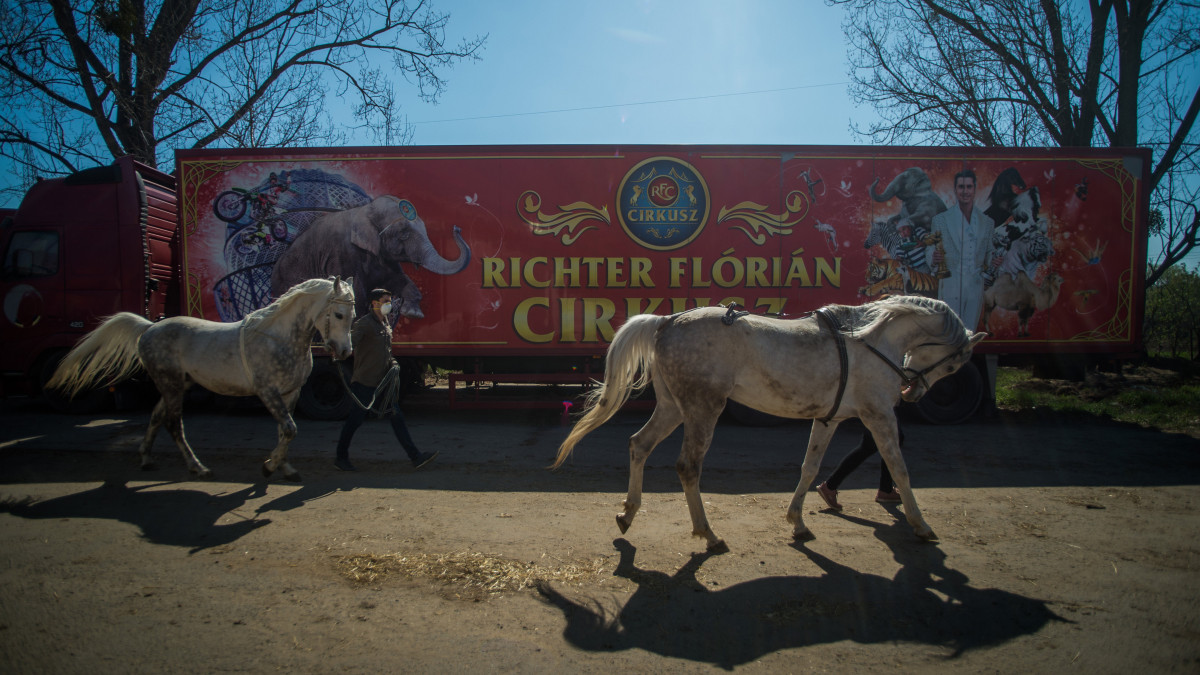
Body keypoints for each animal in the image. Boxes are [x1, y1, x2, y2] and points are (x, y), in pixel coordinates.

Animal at [48, 275, 355, 478]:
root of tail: (149, 328)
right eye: (339, 314)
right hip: (170, 384)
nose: (344, 351)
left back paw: (146, 458)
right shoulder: (267, 391)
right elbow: (290, 429)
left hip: (177, 385)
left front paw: (285, 467)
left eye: (352, 315)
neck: (278, 337)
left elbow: (285, 431)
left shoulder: (290, 393)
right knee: (173, 424)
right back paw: (197, 466)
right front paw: (269, 466)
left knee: (156, 417)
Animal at [270, 194, 470, 317]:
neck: (364, 210)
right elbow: (354, 290)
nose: (457, 228)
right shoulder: (343, 253)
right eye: (404, 234)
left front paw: (413, 313)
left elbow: (395, 279)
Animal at [552, 296, 984, 550]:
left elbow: (810, 467)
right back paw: (708, 534)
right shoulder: (878, 416)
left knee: (639, 445)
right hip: (703, 409)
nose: (913, 392)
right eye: (955, 364)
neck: (869, 340)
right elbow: (900, 468)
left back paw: (628, 513)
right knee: (688, 466)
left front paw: (797, 521)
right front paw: (920, 524)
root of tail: (668, 321)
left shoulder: (828, 419)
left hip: (673, 407)